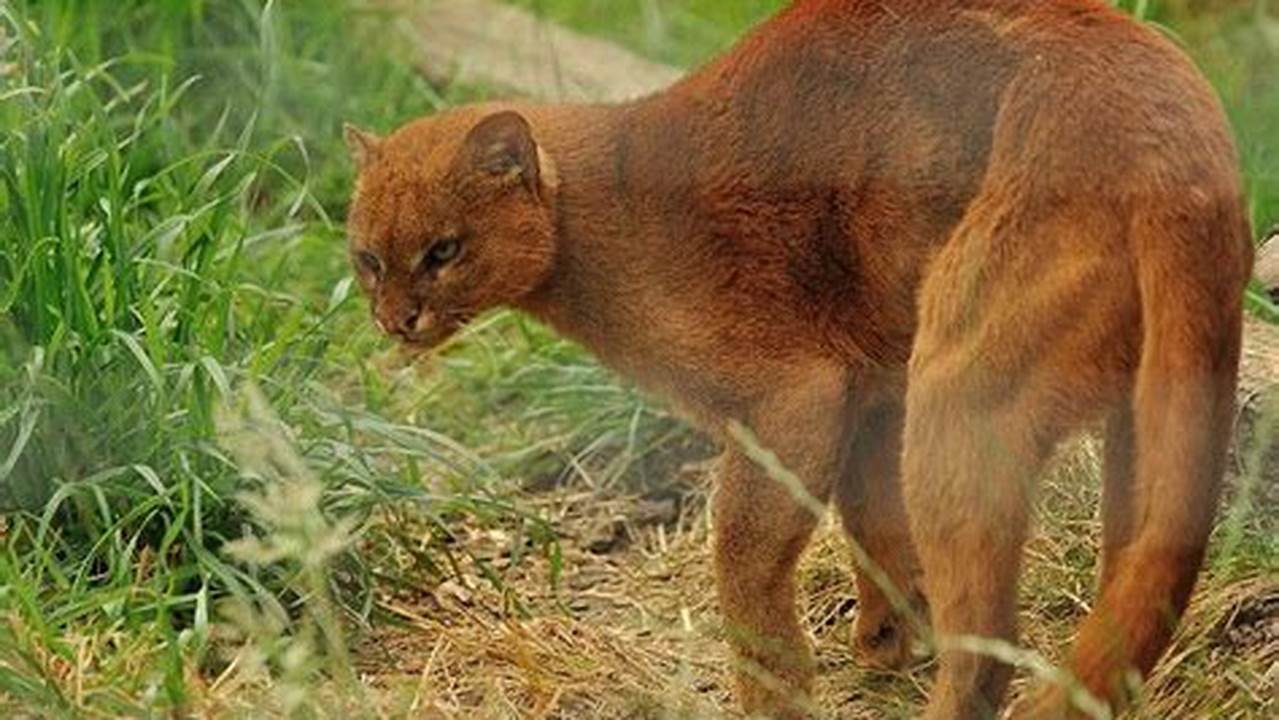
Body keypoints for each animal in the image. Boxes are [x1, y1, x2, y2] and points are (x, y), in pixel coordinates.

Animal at [340, 2, 1248, 716]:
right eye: (369, 259)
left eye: (443, 251)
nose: (395, 321)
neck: (604, 211)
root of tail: (1174, 133)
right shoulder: (873, 390)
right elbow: (872, 519)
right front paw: (885, 638)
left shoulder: (795, 394)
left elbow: (745, 559)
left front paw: (777, 692)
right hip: (1138, 419)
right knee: (1126, 595)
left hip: (958, 386)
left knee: (989, 647)